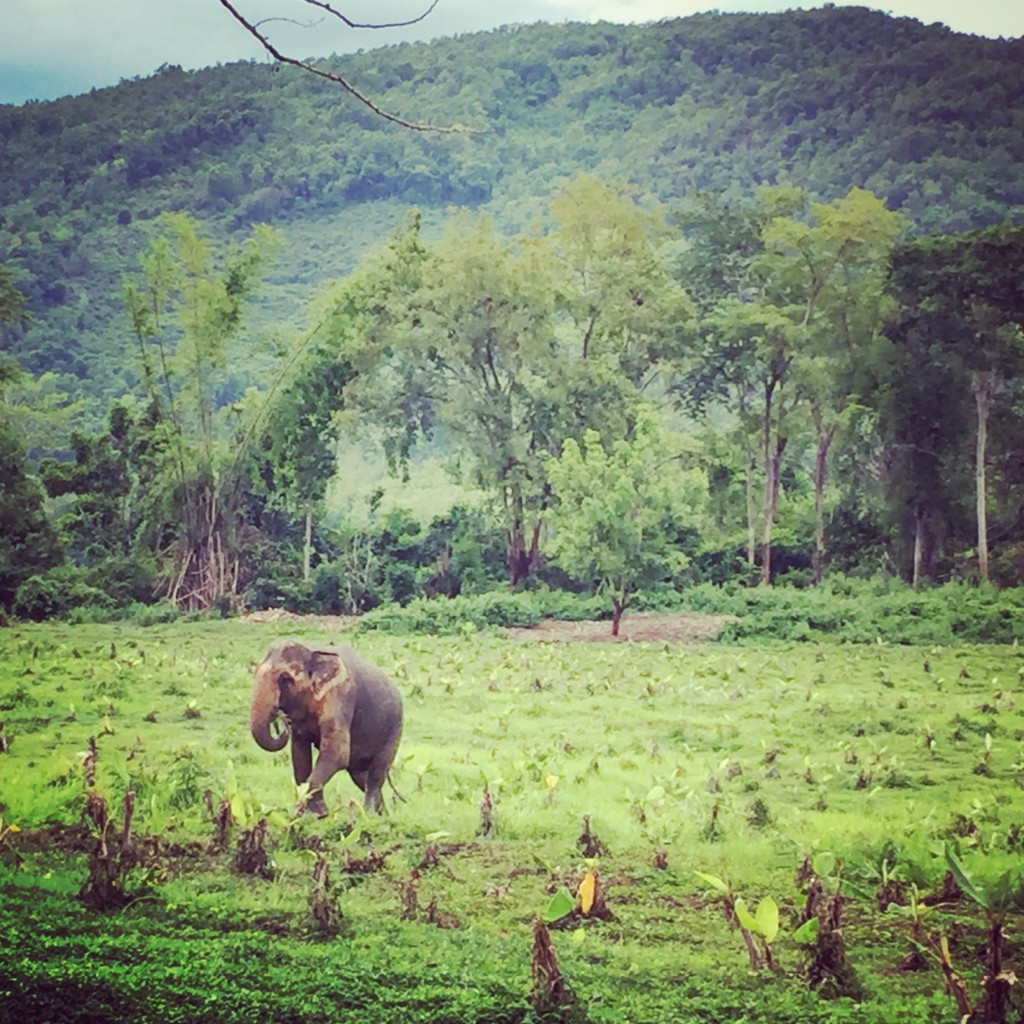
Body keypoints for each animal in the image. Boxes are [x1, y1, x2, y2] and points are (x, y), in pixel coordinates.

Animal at [249, 638, 401, 815]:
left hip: (394, 731)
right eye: (255, 672)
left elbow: (337, 753)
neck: (312, 651)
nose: (282, 719)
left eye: (285, 678)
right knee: (361, 776)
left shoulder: (340, 696)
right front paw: (309, 814)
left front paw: (313, 813)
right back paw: (381, 815)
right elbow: (299, 754)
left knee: (376, 774)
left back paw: (369, 814)